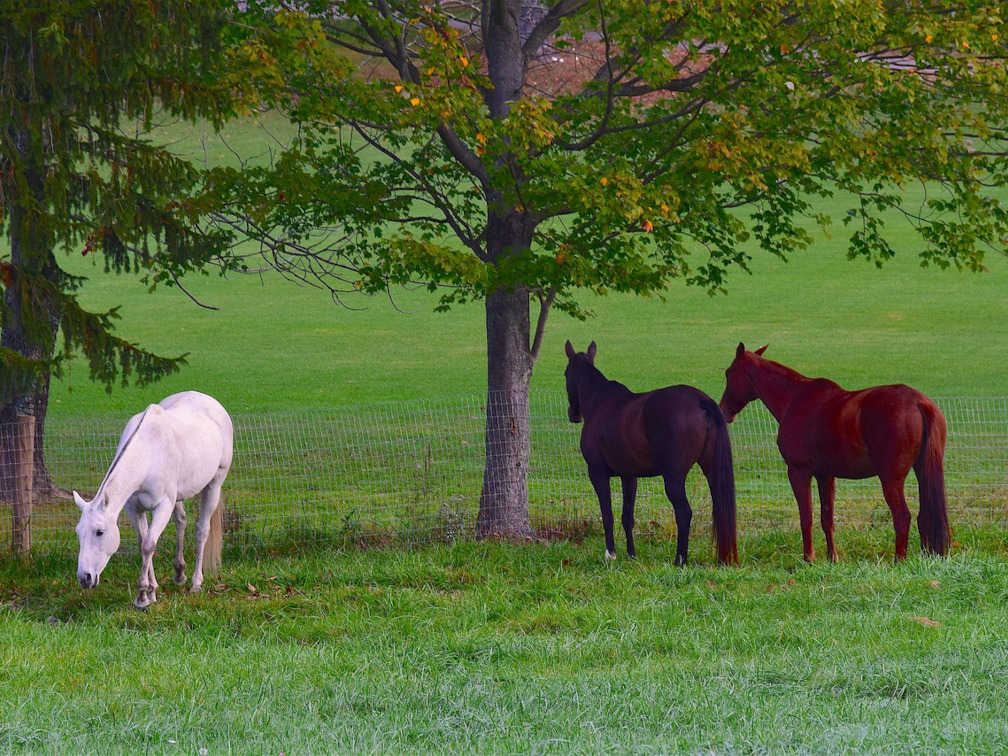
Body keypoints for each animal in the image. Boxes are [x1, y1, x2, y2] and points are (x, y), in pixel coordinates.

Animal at [74, 391, 234, 610]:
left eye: (100, 532)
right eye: (78, 533)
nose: (84, 578)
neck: (148, 453)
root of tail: (211, 402)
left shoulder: (163, 506)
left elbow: (149, 545)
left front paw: (142, 597)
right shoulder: (134, 508)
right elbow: (143, 542)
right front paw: (151, 592)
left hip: (214, 484)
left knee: (202, 530)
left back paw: (196, 583)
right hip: (179, 495)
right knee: (181, 521)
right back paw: (179, 574)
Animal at [564, 341, 738, 566]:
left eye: (566, 374)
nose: (573, 414)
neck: (600, 402)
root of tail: (699, 399)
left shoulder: (597, 473)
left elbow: (607, 514)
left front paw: (610, 554)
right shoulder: (629, 476)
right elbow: (627, 517)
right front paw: (631, 555)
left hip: (673, 477)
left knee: (684, 513)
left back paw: (680, 560)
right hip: (711, 469)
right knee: (720, 510)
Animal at [719, 343, 950, 562]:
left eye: (729, 373)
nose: (722, 411)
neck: (795, 398)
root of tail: (919, 402)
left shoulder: (798, 472)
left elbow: (806, 517)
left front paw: (808, 558)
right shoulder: (825, 475)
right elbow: (827, 518)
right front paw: (832, 558)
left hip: (891, 479)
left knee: (902, 517)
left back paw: (899, 560)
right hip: (921, 470)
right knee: (924, 516)